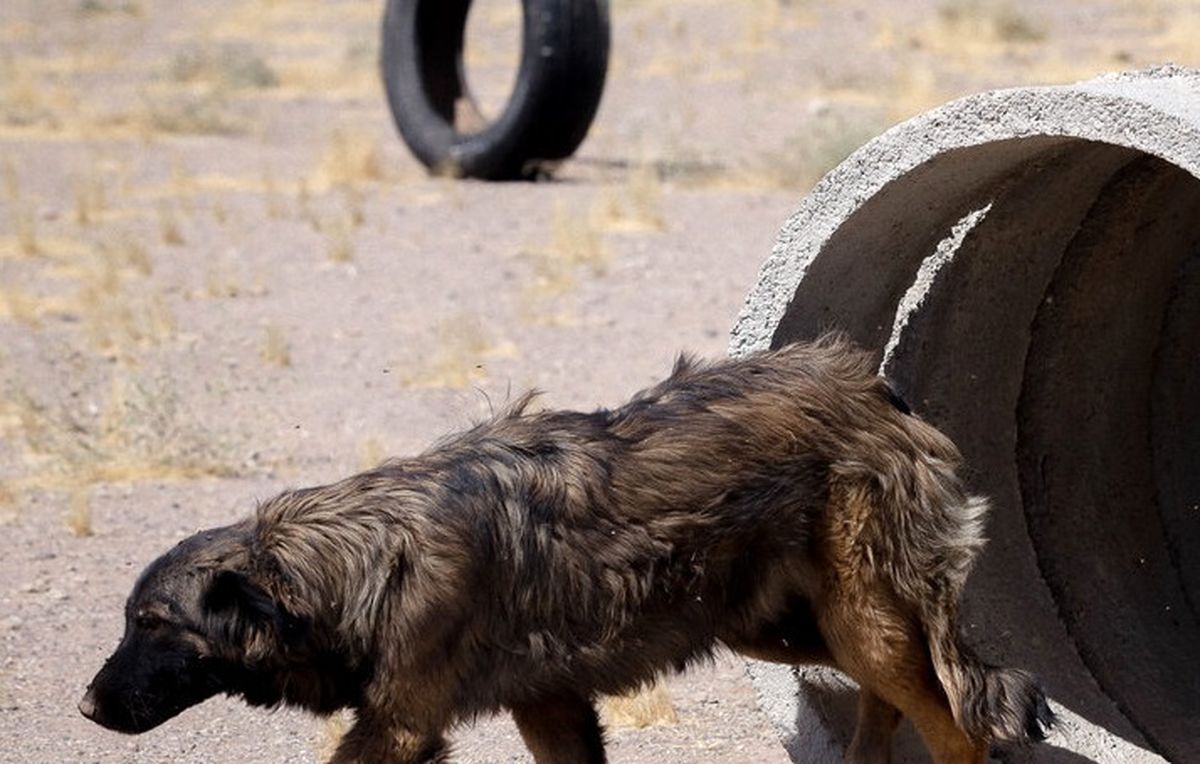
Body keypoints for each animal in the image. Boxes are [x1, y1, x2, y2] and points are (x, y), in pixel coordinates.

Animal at [79, 335, 1051, 758]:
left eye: (152, 625)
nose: (85, 708)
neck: (360, 565)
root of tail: (872, 385)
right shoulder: (547, 703)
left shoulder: (401, 727)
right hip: (777, 628)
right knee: (902, 700)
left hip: (859, 623)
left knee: (956, 726)